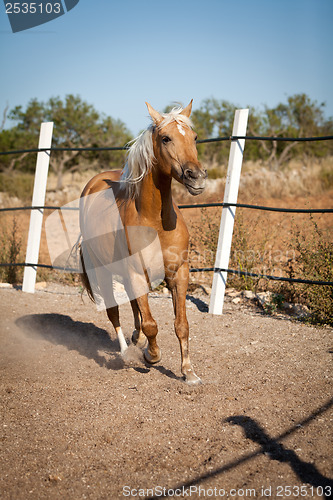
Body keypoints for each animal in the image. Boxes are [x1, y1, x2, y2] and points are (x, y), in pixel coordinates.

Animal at [79, 99, 206, 384]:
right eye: (166, 138)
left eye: (194, 137)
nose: (196, 177)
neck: (155, 222)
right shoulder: (136, 273)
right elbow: (151, 324)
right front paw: (152, 355)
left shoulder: (179, 273)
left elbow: (181, 324)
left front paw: (189, 372)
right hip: (103, 270)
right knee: (115, 312)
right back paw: (127, 352)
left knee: (133, 305)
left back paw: (136, 341)